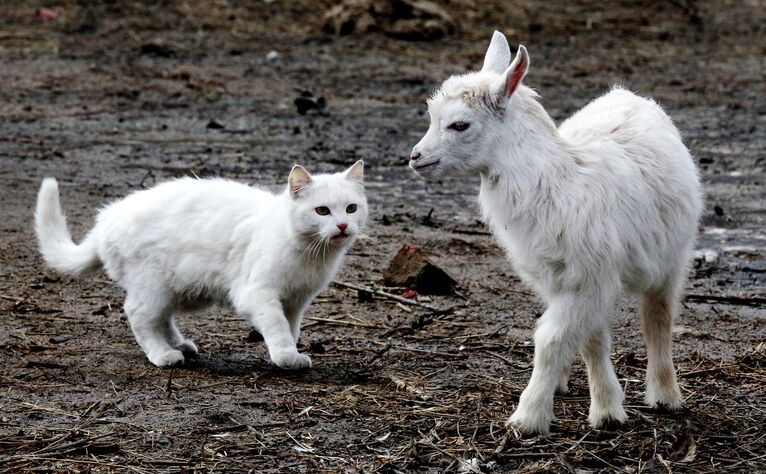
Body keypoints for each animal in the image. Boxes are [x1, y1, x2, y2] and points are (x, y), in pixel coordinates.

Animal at [36, 163, 368, 370]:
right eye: (322, 211)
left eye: (351, 208)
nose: (342, 225)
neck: (312, 253)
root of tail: (106, 219)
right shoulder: (257, 294)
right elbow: (276, 326)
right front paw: (286, 356)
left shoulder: (297, 300)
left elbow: (291, 327)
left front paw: (290, 352)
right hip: (153, 284)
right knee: (139, 316)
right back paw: (163, 354)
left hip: (171, 288)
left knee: (160, 318)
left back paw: (179, 344)